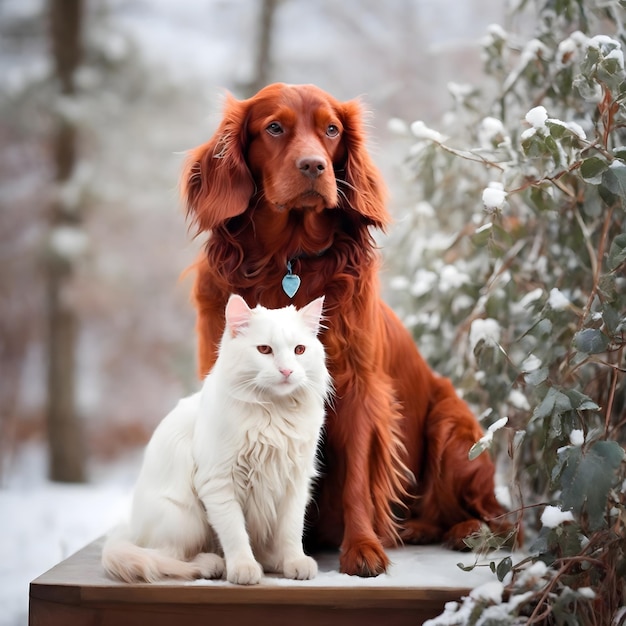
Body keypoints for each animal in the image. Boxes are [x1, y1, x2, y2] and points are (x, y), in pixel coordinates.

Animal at [100, 294, 330, 584]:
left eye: (299, 350)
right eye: (264, 350)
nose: (287, 371)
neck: (272, 415)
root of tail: (132, 529)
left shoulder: (295, 483)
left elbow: (290, 531)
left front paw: (293, 562)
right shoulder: (218, 482)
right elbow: (235, 534)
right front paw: (243, 568)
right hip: (184, 519)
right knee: (168, 558)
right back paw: (212, 564)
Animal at [180, 83, 512, 576]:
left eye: (332, 130)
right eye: (274, 127)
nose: (314, 166)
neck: (287, 262)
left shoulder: (358, 387)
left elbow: (358, 478)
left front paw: (362, 547)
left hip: (452, 426)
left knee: (500, 518)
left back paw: (457, 530)